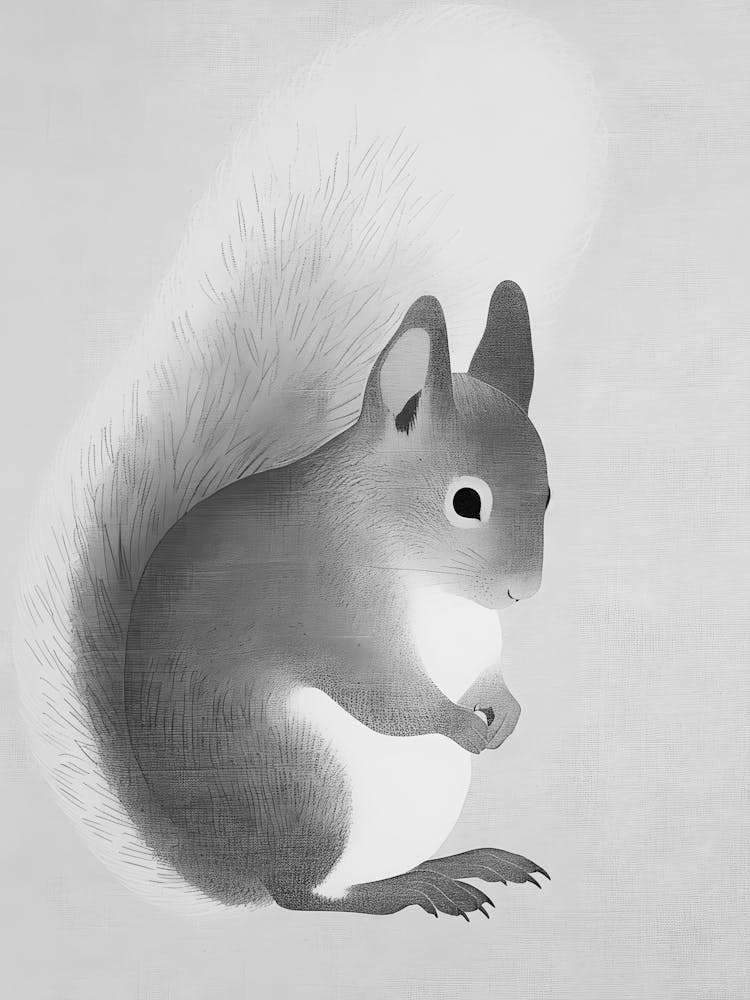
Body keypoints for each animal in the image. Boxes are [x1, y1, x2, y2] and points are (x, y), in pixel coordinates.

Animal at [13, 7, 604, 917]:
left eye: (547, 494)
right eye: (466, 501)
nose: (521, 593)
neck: (418, 572)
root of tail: (225, 868)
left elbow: (486, 675)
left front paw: (504, 709)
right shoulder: (330, 611)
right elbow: (387, 698)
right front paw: (460, 723)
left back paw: (460, 861)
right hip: (311, 784)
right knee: (310, 896)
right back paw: (414, 886)